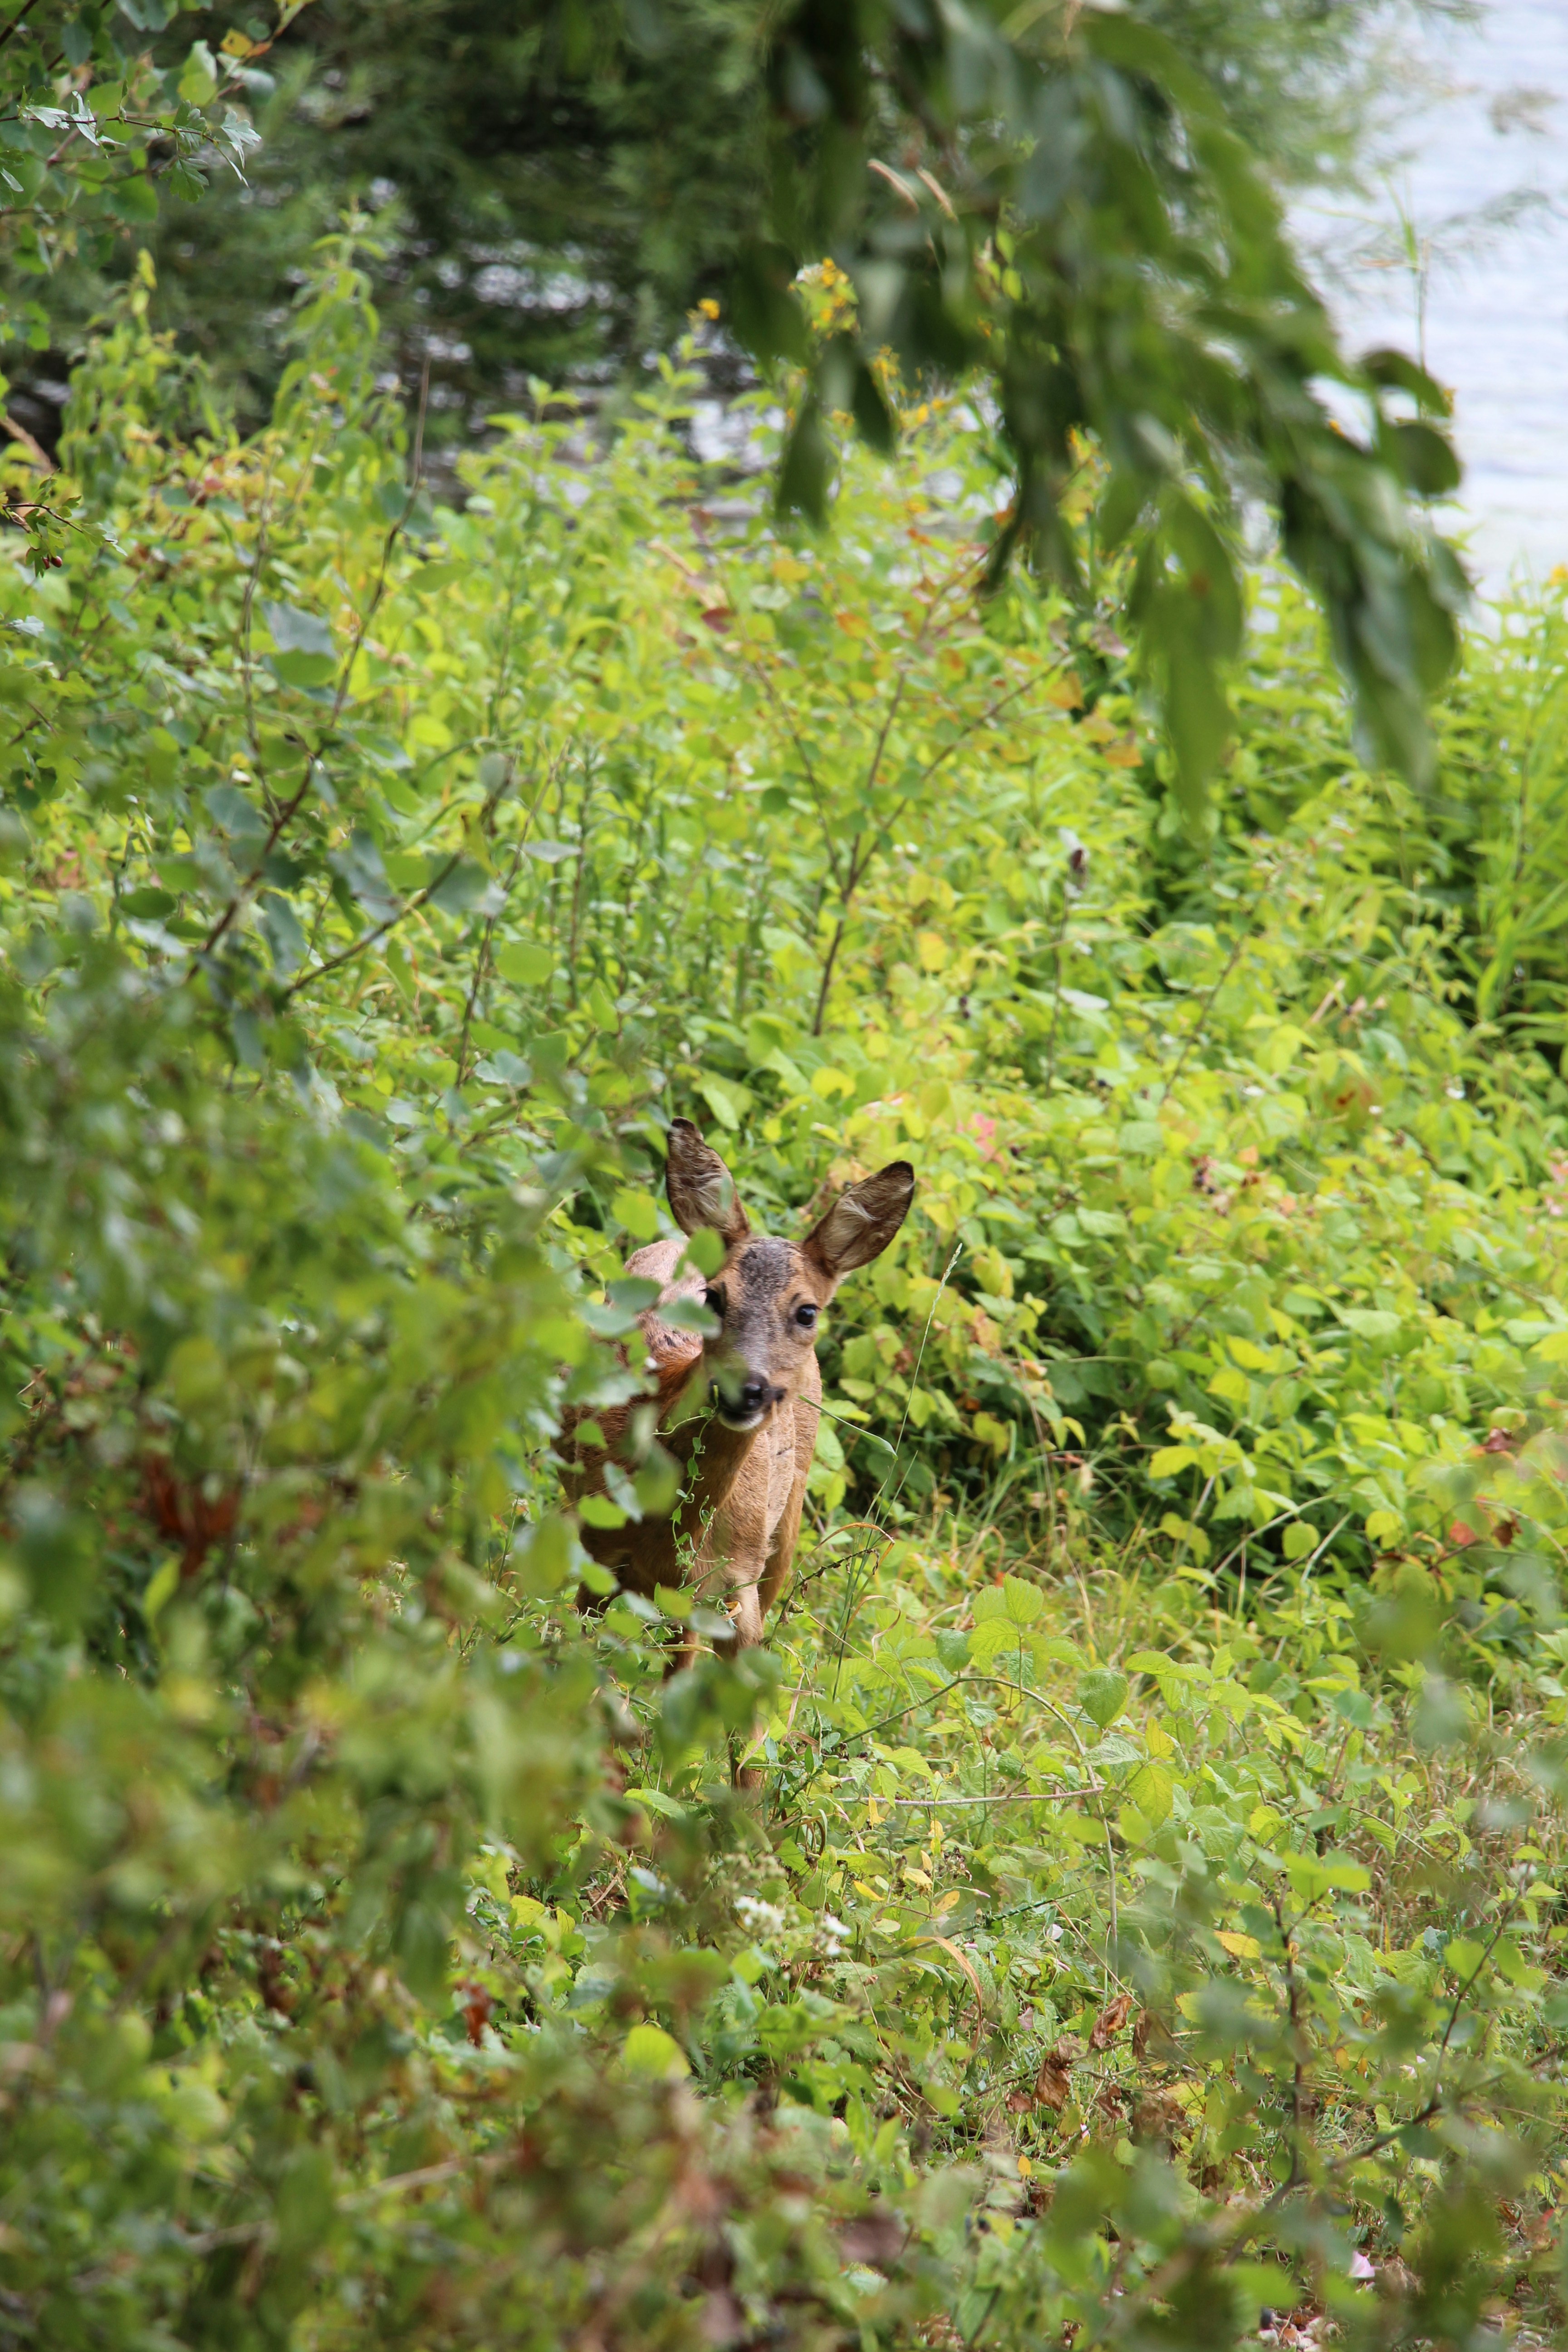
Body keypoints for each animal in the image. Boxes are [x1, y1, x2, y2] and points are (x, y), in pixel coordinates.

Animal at [562, 1118, 914, 1656]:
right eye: (712, 1297)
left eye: (807, 1311)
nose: (743, 1390)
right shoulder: (596, 1551)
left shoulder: (732, 1591)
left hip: (786, 1521)